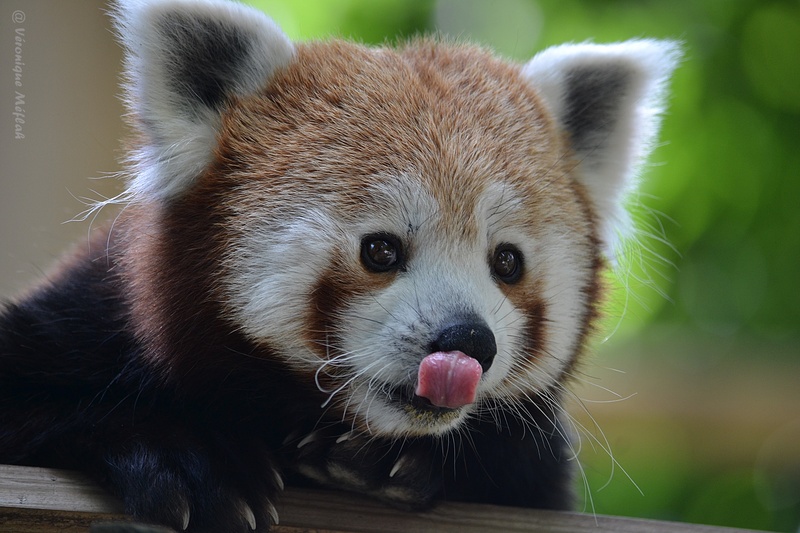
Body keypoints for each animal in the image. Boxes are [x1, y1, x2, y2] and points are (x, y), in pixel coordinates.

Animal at [0, 1, 676, 532]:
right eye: (380, 250)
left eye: (507, 262)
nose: (467, 341)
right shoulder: (90, 312)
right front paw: (189, 461)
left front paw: (396, 463)